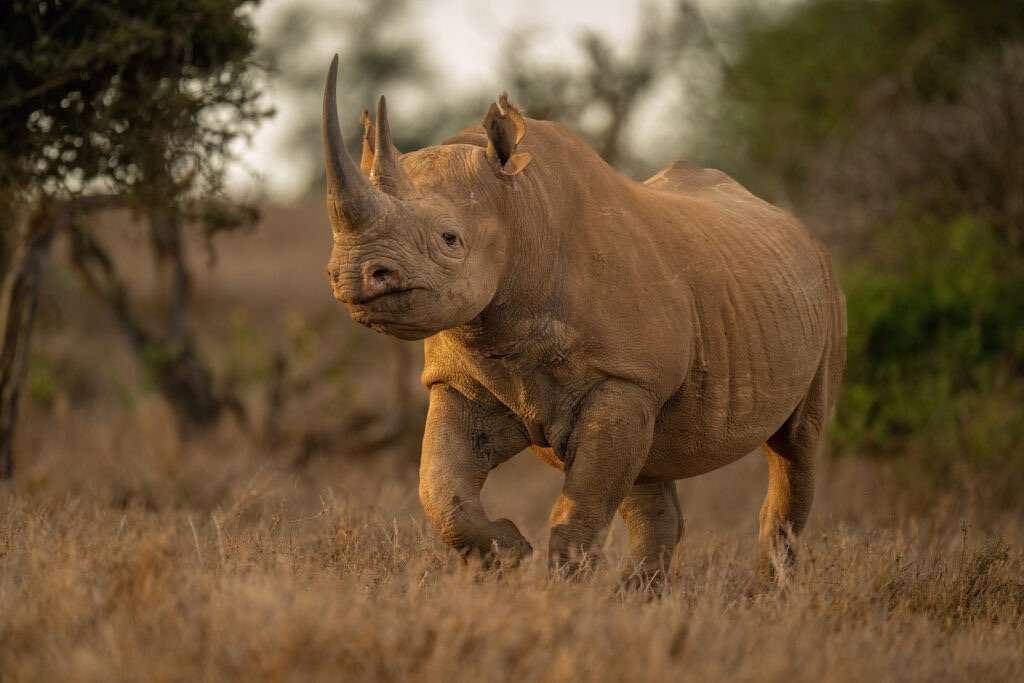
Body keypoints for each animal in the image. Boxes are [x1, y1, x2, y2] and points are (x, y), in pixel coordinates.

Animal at [321, 55, 846, 584]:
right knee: (651, 468)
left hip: (824, 294)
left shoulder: (625, 380)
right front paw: (512, 556)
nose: (354, 274)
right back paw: (638, 593)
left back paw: (766, 591)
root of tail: (799, 228)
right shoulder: (459, 379)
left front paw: (561, 591)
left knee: (796, 447)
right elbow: (441, 491)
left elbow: (584, 504)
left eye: (450, 239)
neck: (520, 211)